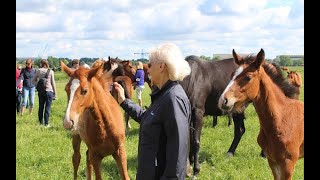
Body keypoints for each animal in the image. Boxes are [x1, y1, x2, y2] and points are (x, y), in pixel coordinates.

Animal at [219, 48, 304, 179]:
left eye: (248, 77)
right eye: (231, 75)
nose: (223, 100)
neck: (282, 117)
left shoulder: (288, 163)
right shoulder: (272, 161)